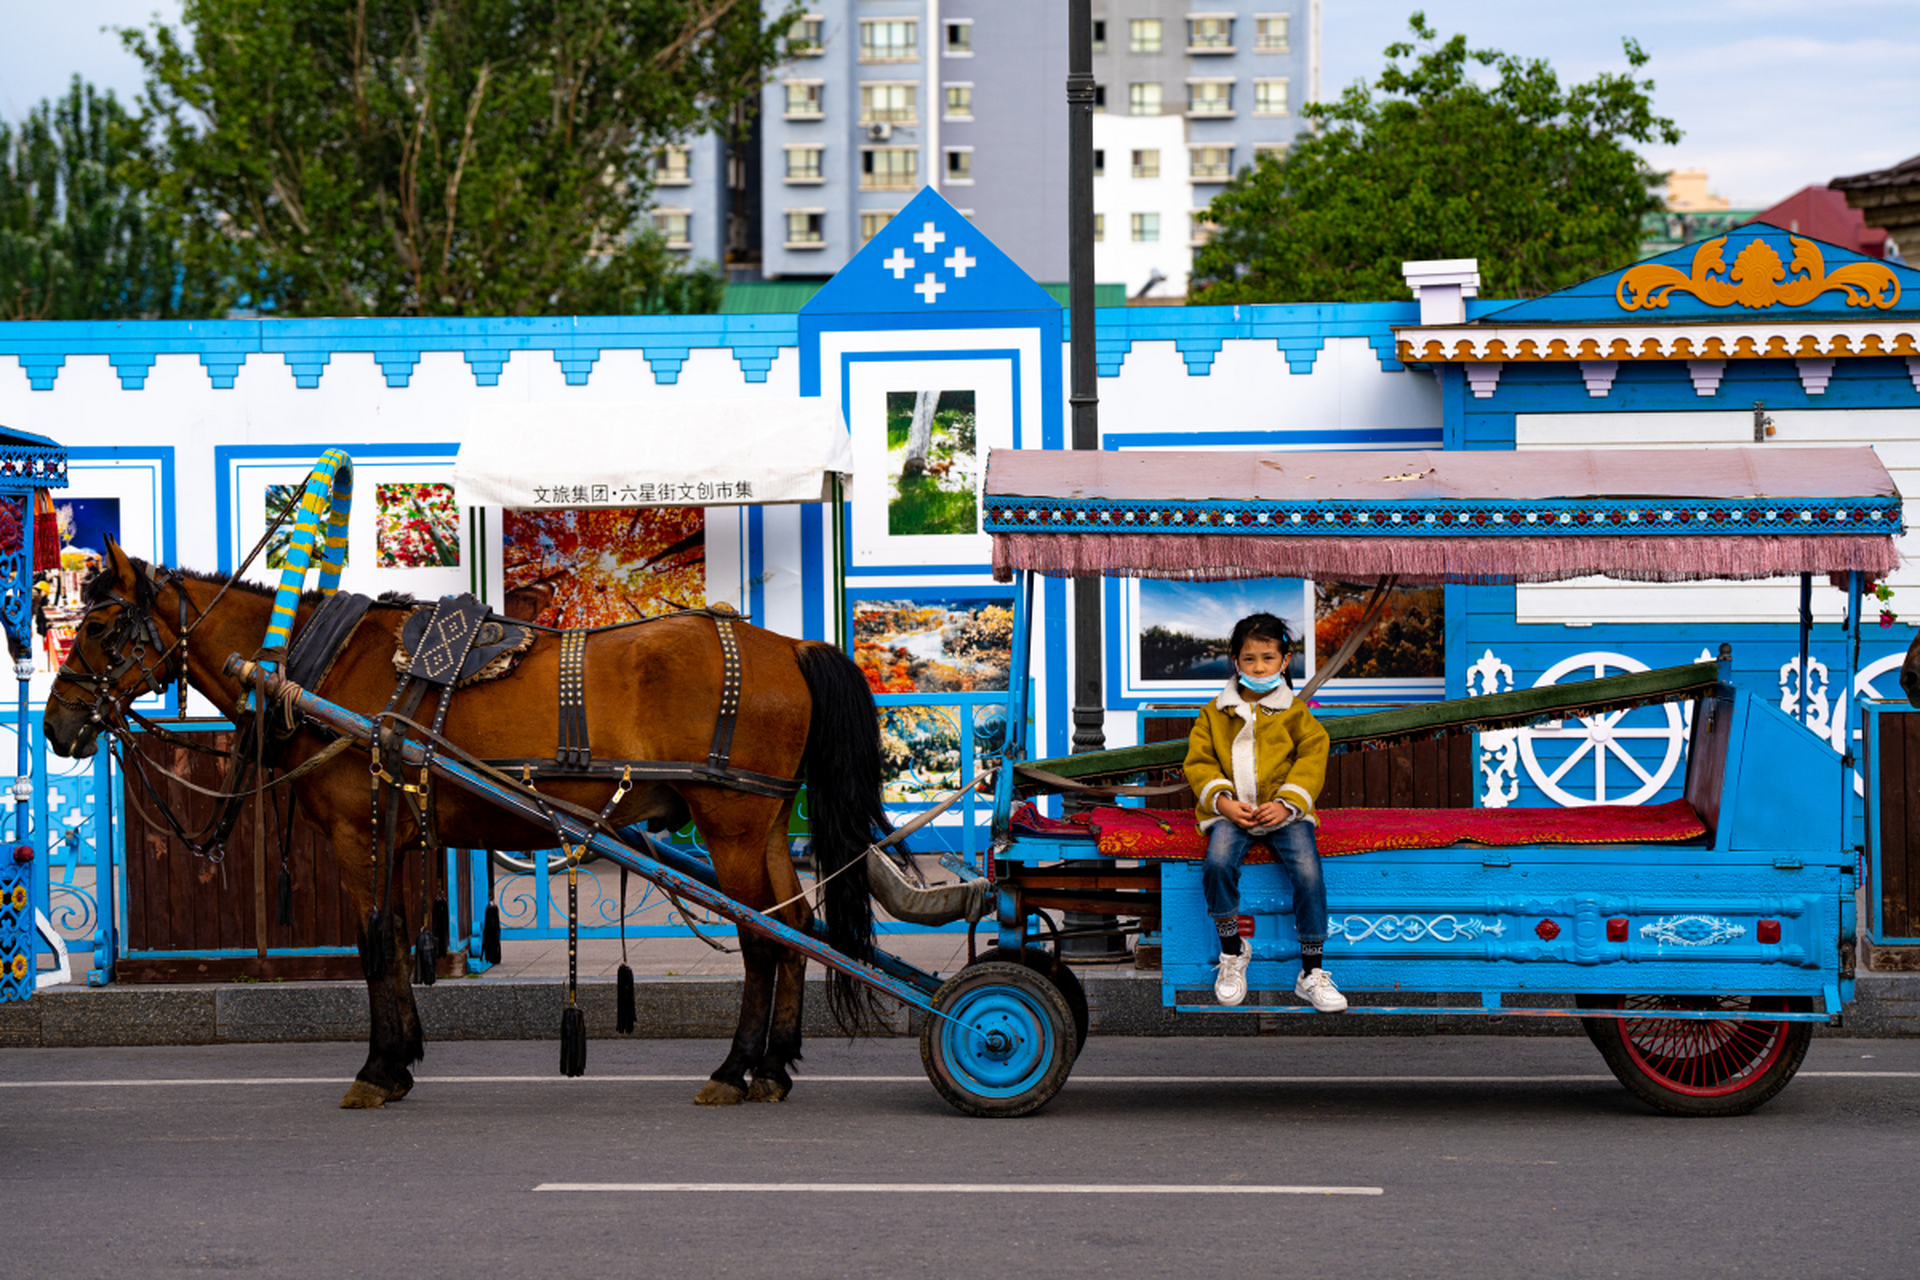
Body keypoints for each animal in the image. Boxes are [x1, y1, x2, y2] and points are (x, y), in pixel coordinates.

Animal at [37, 537, 890, 1113]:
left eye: (103, 629)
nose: (57, 724)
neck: (317, 671)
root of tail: (790, 645)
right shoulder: (394, 831)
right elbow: (394, 938)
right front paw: (402, 1056)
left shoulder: (358, 831)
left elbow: (373, 939)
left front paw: (379, 1067)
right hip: (765, 822)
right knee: (796, 926)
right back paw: (774, 1067)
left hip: (732, 822)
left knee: (761, 937)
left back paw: (736, 1068)